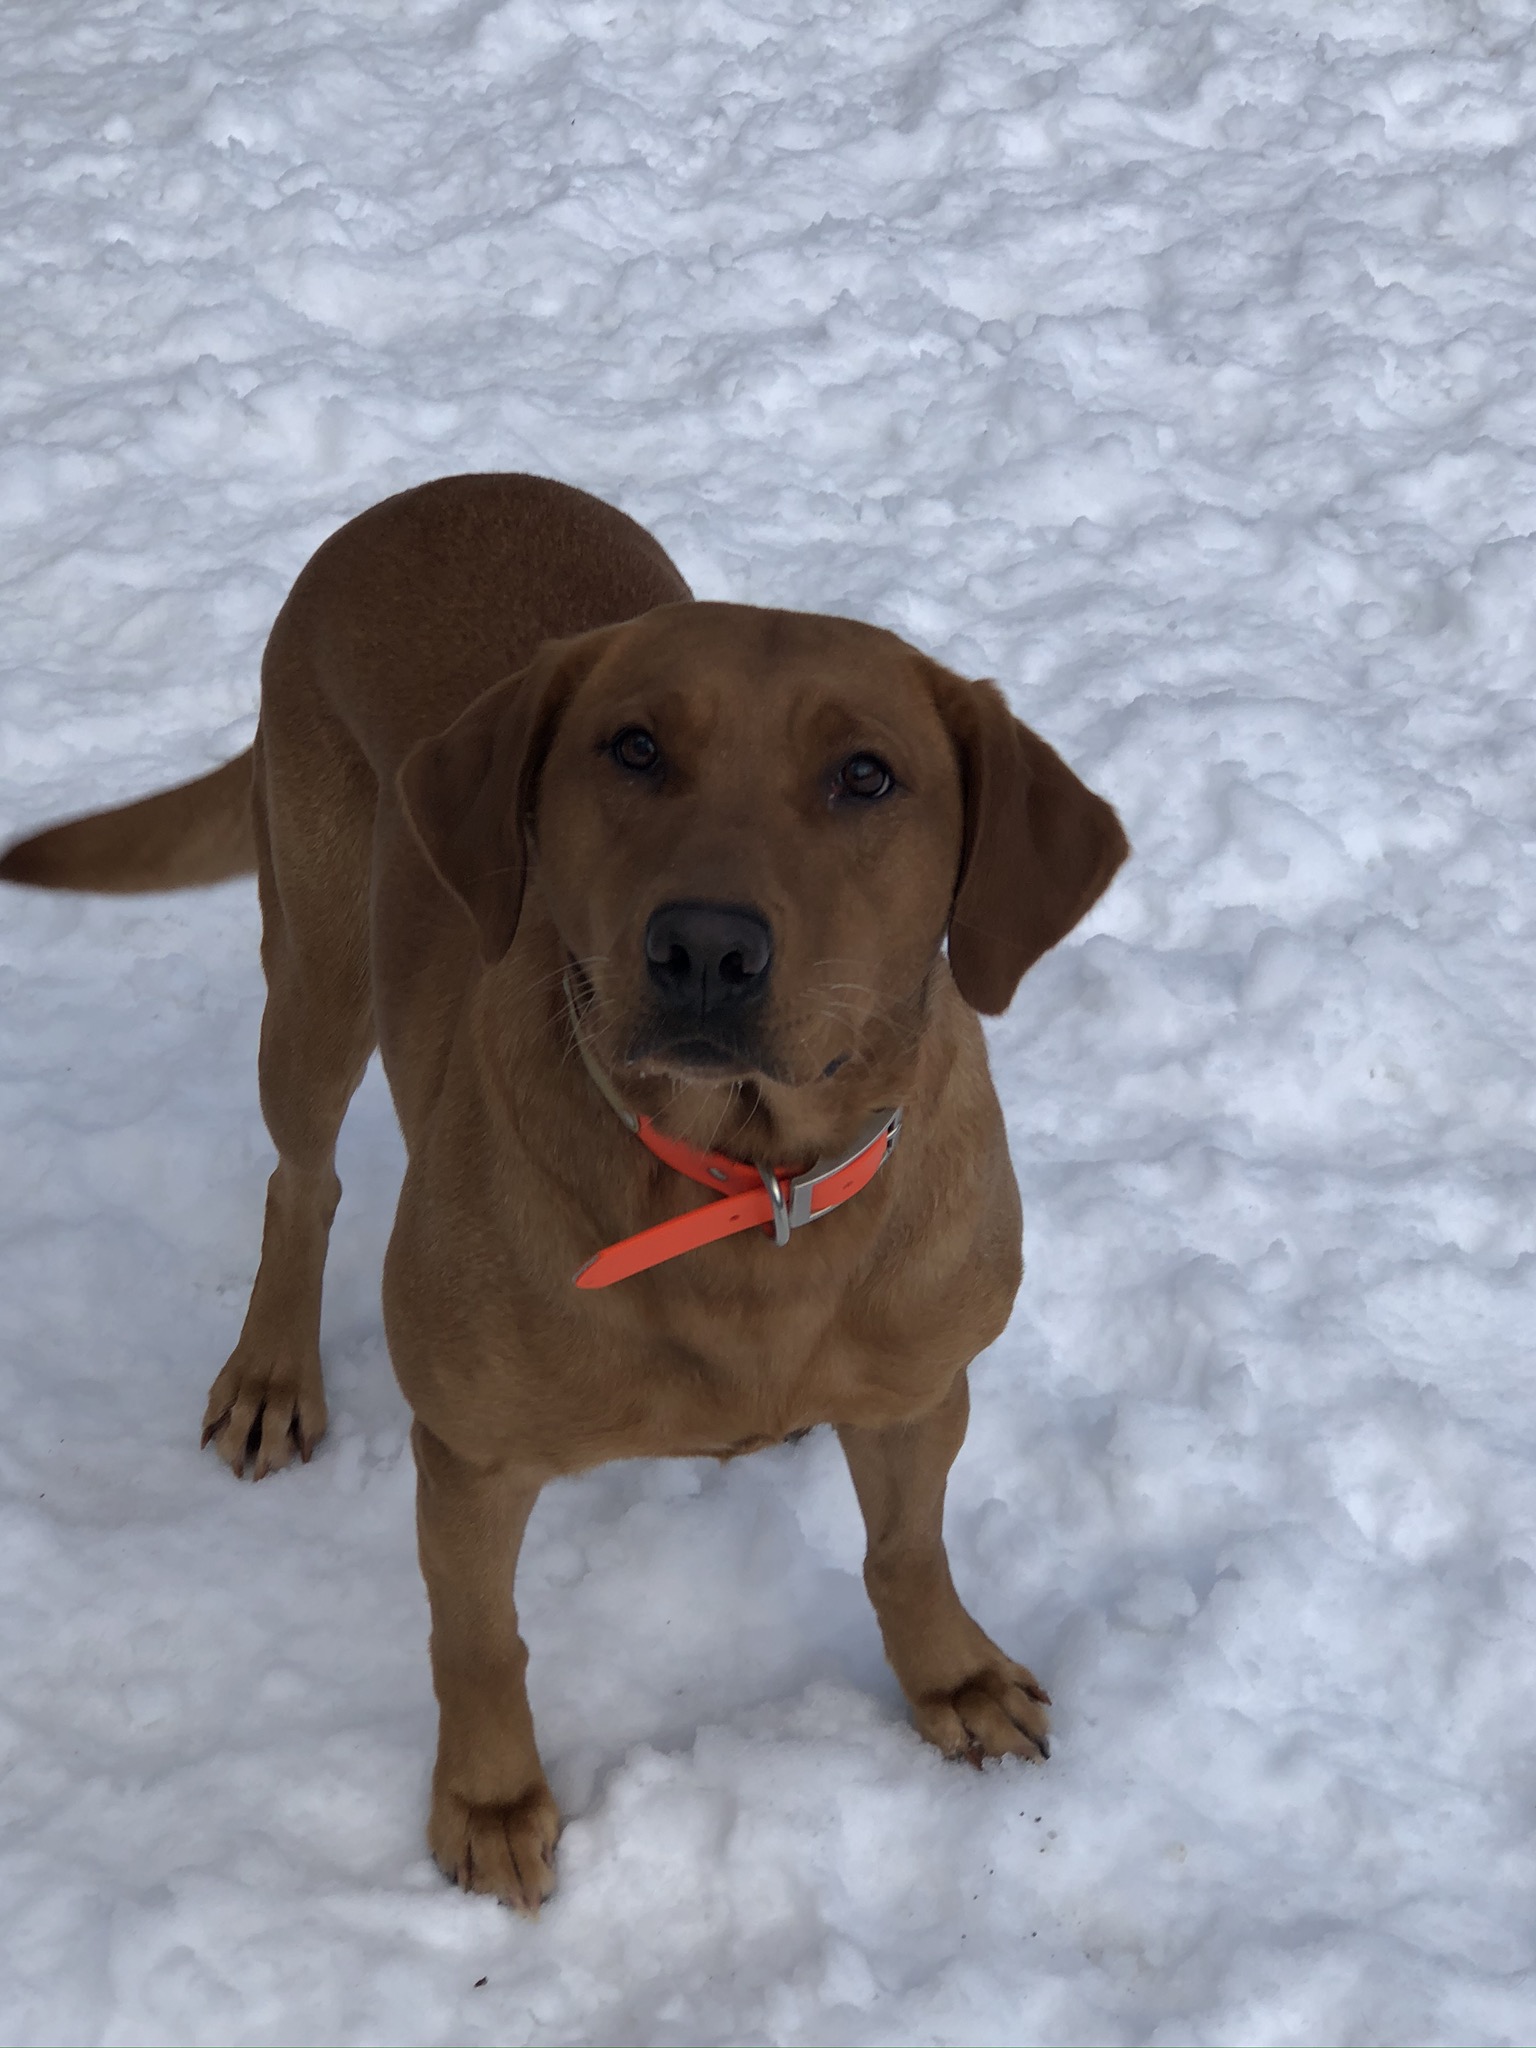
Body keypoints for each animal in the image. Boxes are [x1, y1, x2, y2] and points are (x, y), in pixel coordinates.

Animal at [3, 471, 1130, 1908]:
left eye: (868, 774)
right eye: (633, 748)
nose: (703, 946)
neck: (743, 1183)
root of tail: (436, 490)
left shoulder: (921, 1386)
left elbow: (905, 1547)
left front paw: (954, 1677)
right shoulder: (471, 1457)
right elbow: (480, 1638)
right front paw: (489, 1801)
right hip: (314, 978)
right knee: (300, 1180)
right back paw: (270, 1371)